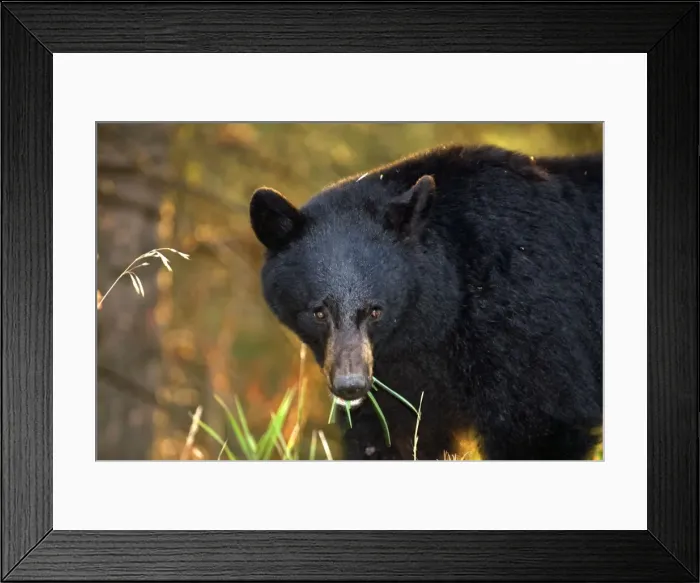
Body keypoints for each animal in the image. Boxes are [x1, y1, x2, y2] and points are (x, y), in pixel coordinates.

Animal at [249, 143, 603, 461]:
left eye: (375, 311)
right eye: (318, 312)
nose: (351, 385)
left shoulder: (522, 311)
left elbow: (539, 420)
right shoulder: (395, 371)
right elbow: (390, 433)